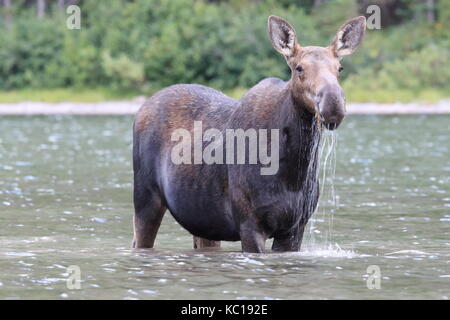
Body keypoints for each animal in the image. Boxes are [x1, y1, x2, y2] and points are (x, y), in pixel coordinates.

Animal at [133, 15, 366, 252]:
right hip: (146, 198)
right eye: (299, 68)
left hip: (202, 219)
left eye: (340, 68)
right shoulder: (250, 224)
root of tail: (142, 107)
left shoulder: (295, 228)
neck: (293, 171)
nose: (333, 103)